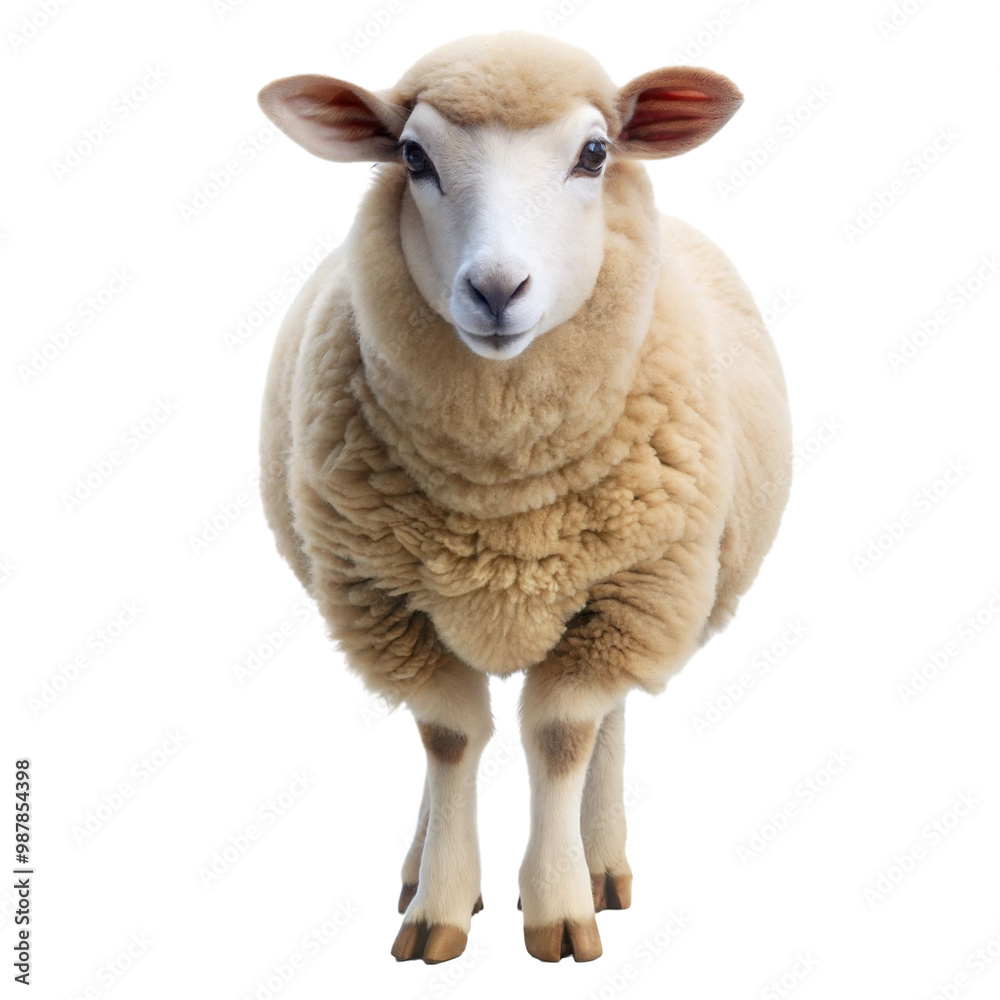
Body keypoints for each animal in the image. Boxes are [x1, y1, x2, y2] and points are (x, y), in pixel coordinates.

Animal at [256, 31, 791, 965]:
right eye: (412, 156)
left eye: (594, 153)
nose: (497, 290)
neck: (505, 482)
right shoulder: (388, 603)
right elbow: (448, 737)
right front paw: (437, 908)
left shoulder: (628, 595)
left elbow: (564, 734)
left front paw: (559, 909)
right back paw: (422, 863)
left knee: (610, 722)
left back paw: (602, 861)